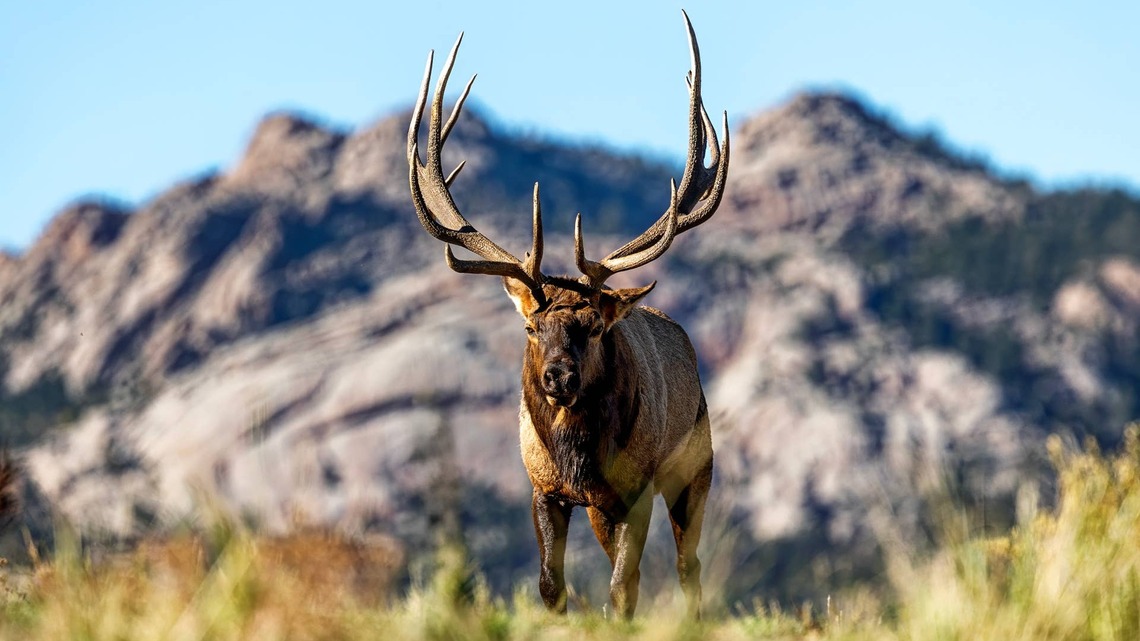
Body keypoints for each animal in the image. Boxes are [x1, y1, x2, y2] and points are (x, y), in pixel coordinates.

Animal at [407, 10, 728, 619]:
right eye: (531, 326)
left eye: (594, 327)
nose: (559, 376)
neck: (575, 455)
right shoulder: (544, 488)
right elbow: (550, 586)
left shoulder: (636, 489)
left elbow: (622, 589)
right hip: (607, 507)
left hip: (695, 464)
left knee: (688, 565)